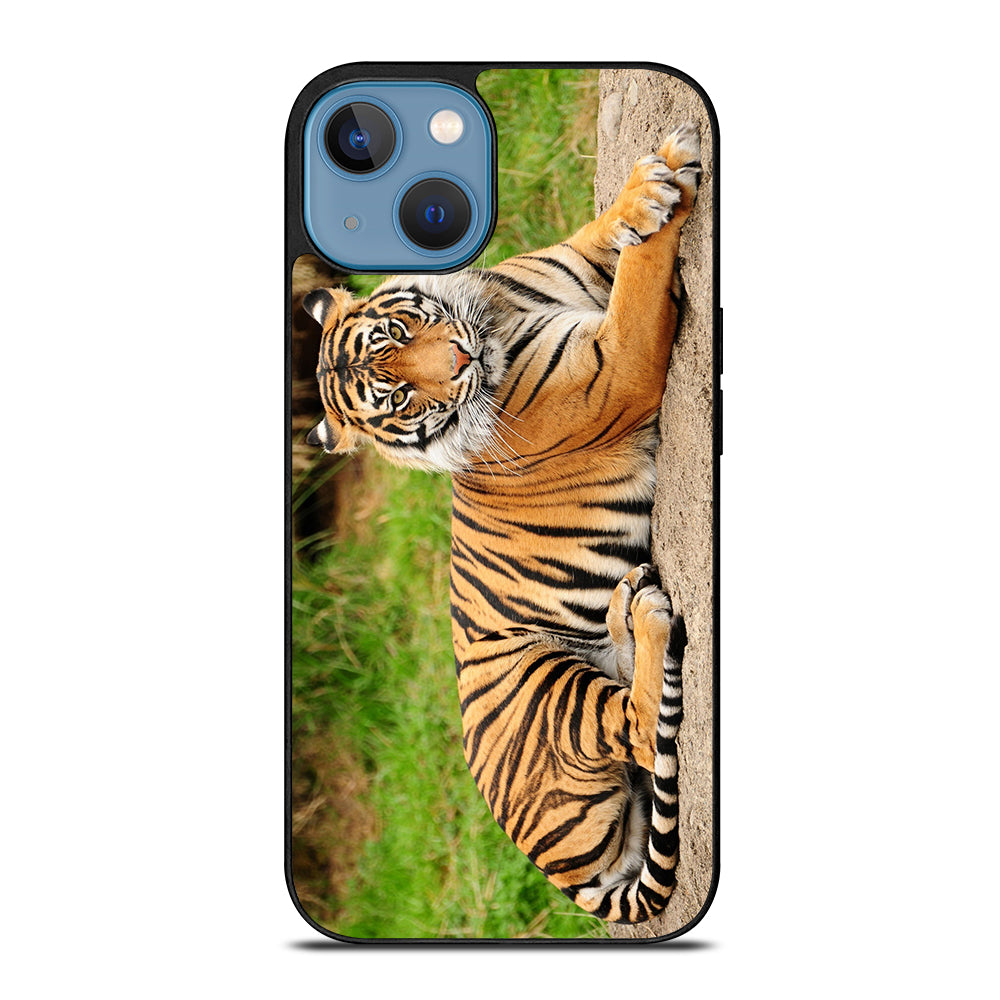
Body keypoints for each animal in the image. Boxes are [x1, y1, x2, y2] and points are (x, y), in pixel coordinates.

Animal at [303, 122, 701, 923]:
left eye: (399, 330)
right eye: (396, 397)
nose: (459, 361)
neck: (494, 314)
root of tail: (564, 876)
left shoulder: (572, 267)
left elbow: (608, 234)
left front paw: (650, 185)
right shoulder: (617, 366)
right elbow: (641, 278)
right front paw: (663, 189)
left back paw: (626, 605)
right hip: (544, 683)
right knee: (642, 729)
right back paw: (646, 615)